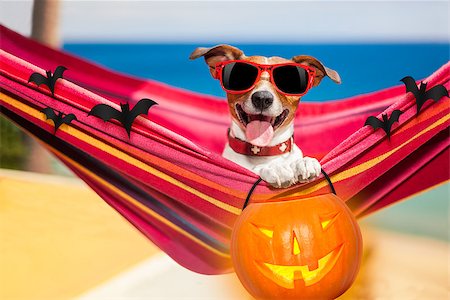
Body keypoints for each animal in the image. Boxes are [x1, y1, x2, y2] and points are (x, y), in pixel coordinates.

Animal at [190, 44, 342, 188]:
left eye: (288, 79)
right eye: (241, 76)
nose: (262, 98)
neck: (263, 151)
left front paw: (304, 162)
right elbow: (257, 169)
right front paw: (274, 168)